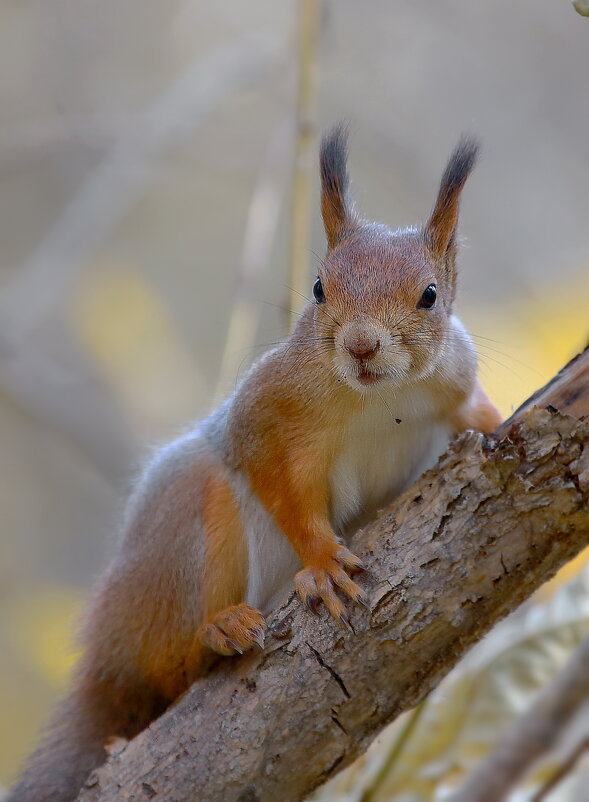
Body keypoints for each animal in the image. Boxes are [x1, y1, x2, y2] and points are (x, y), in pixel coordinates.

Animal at [4, 126, 500, 800]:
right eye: (319, 287)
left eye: (428, 296)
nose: (361, 346)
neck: (379, 396)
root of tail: (105, 662)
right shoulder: (267, 416)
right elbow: (281, 487)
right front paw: (322, 562)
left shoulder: (454, 381)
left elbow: (473, 411)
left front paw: (499, 423)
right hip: (184, 533)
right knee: (166, 672)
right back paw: (216, 634)